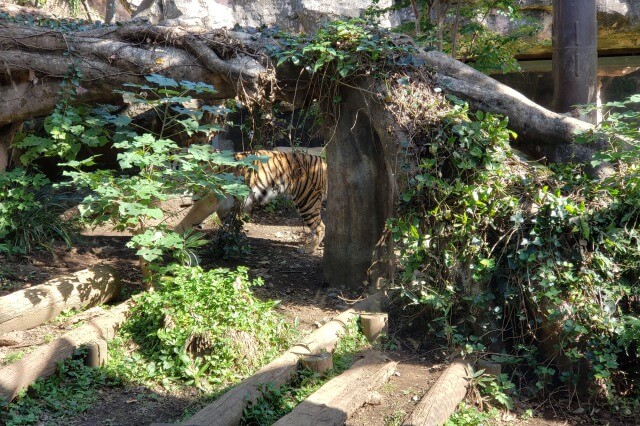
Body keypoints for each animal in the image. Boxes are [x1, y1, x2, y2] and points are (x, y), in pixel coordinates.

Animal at [175, 150, 328, 253]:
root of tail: (323, 161)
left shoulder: (209, 200)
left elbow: (190, 217)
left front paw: (173, 235)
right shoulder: (224, 204)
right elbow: (226, 223)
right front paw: (227, 239)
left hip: (306, 200)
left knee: (320, 226)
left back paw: (308, 249)